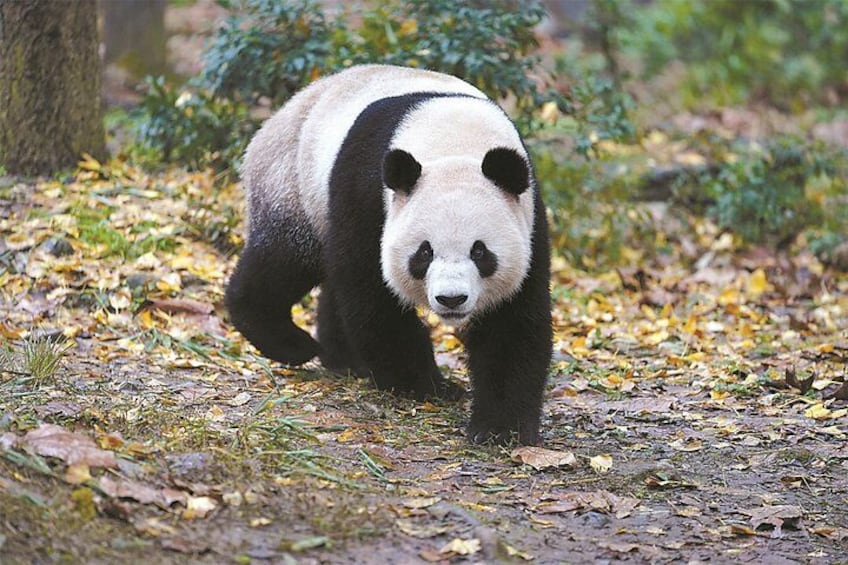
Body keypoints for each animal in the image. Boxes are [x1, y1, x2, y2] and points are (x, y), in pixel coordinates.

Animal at [225, 65, 552, 445]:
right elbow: (372, 292)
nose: (451, 299)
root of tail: (278, 115)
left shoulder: (528, 216)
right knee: (285, 261)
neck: (454, 142)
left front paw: (501, 428)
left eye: (480, 252)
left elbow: (512, 321)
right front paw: (427, 385)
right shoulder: (368, 192)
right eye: (424, 252)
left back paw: (344, 358)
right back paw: (290, 342)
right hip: (292, 184)